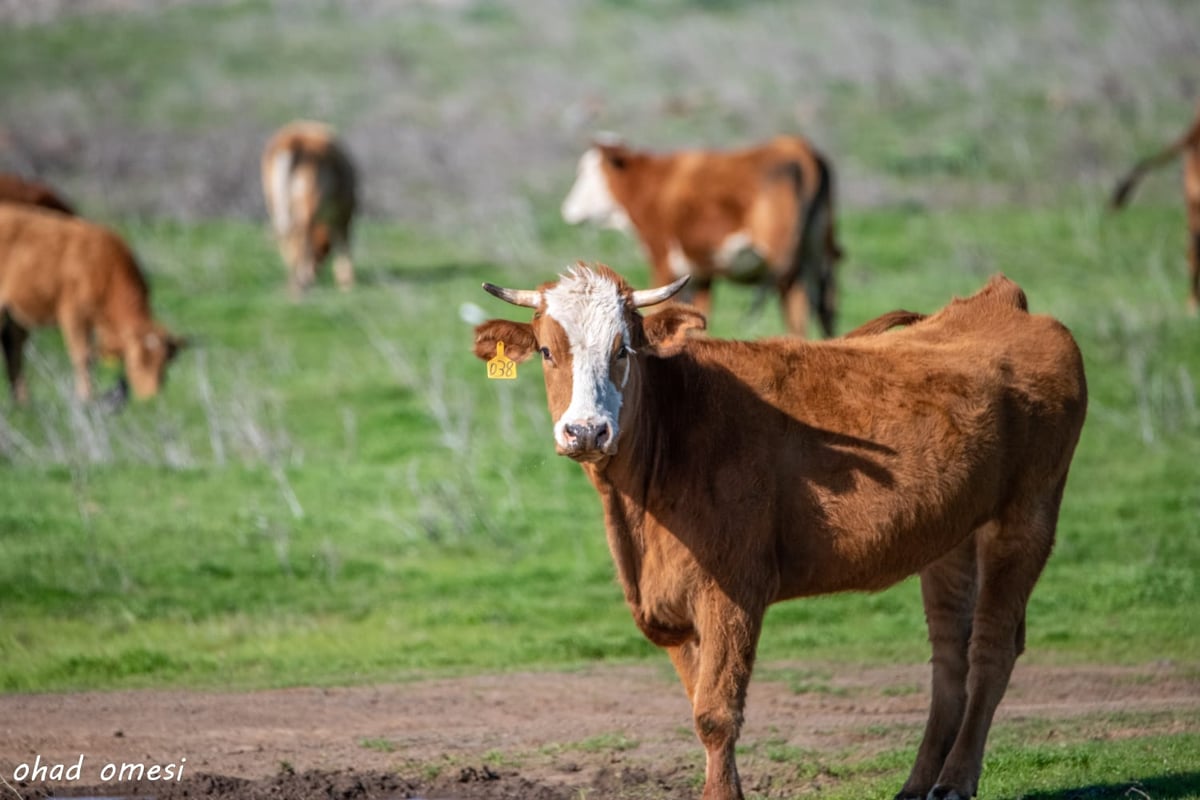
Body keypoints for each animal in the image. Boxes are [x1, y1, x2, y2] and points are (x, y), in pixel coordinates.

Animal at [0, 203, 184, 402]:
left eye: (164, 365)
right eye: (135, 364)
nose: (150, 398)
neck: (105, 268)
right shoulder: (73, 315)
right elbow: (83, 356)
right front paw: (86, 397)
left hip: (15, 315)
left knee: (13, 346)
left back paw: (22, 401)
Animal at [261, 118, 357, 293]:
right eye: (323, 252)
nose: (316, 273)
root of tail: (294, 140)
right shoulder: (345, 210)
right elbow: (343, 244)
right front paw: (347, 283)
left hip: (274, 201)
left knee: (285, 233)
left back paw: (294, 281)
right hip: (310, 199)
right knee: (301, 233)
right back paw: (302, 281)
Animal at [475, 267, 1089, 800]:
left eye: (622, 350)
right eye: (548, 351)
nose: (586, 430)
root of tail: (1001, 302)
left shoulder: (734, 590)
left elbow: (716, 714)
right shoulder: (667, 607)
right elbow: (699, 700)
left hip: (1027, 515)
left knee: (992, 648)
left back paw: (956, 781)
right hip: (953, 535)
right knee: (949, 655)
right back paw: (917, 785)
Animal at [556, 136, 840, 335]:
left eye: (584, 173)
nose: (567, 209)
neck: (651, 186)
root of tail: (800, 150)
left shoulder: (663, 262)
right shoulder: (700, 273)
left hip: (788, 267)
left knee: (797, 314)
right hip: (820, 257)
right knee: (825, 310)